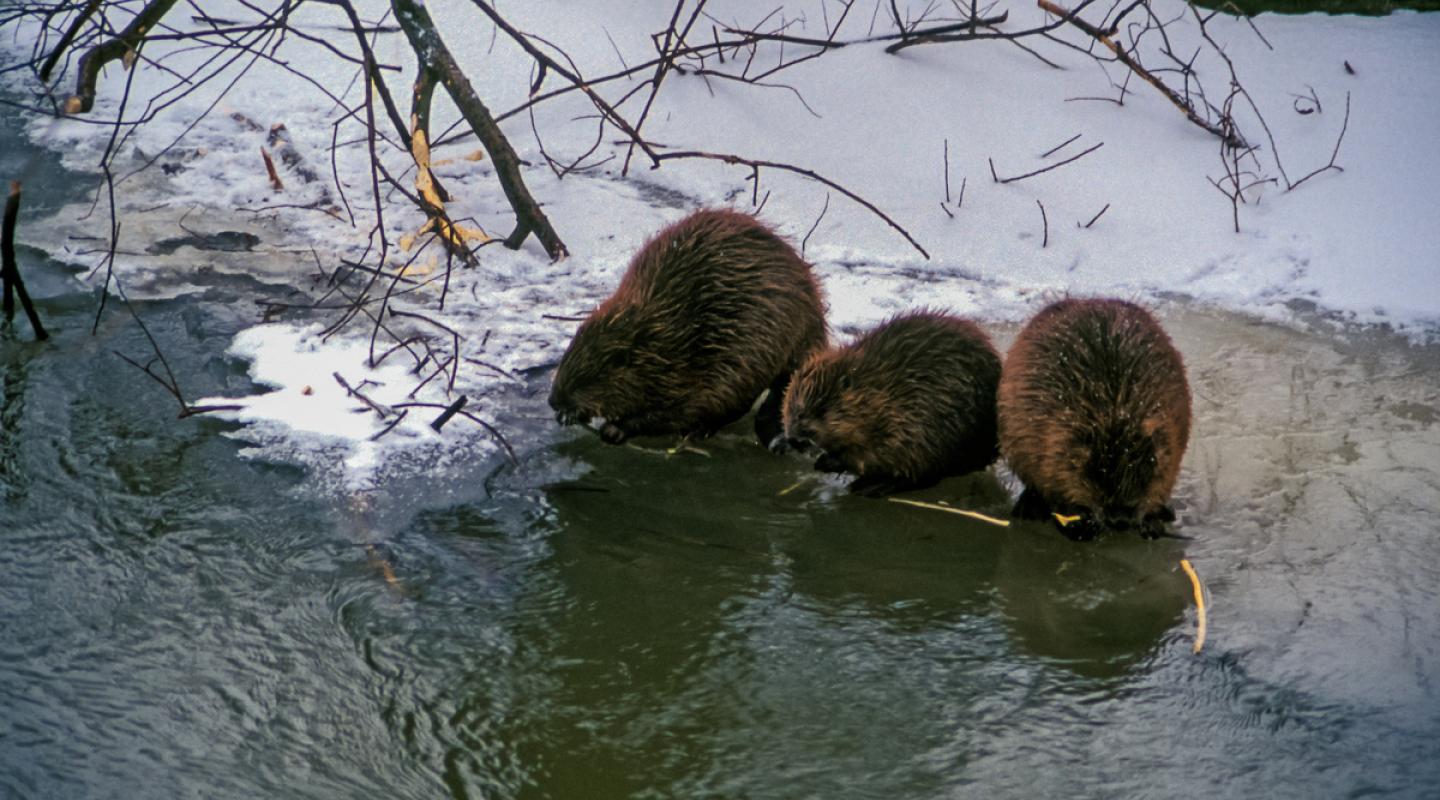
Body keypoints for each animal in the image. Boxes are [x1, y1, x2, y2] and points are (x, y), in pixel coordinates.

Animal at [547, 210, 829, 446]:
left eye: (589, 378)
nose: (553, 401)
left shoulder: (706, 367)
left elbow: (678, 411)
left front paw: (614, 429)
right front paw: (569, 417)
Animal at [777, 310, 1002, 494]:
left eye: (822, 410)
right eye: (792, 409)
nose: (795, 439)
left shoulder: (911, 416)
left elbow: (879, 453)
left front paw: (828, 462)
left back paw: (870, 487)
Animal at [1002, 299, 1192, 543]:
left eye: (1148, 469)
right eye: (1097, 472)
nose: (1120, 521)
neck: (1117, 406)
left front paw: (1153, 522)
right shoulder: (1045, 428)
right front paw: (1078, 526)